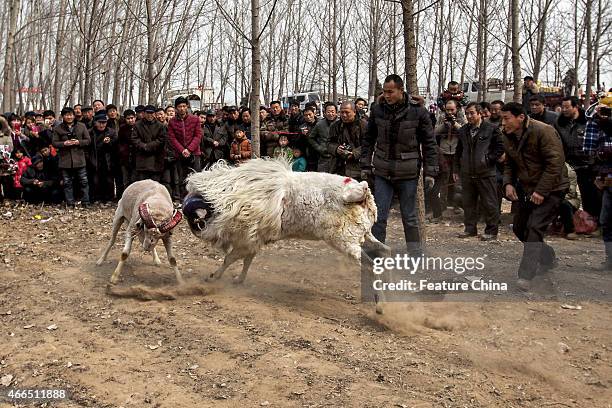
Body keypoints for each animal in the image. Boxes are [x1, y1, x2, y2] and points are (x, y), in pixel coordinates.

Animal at [184, 158, 390, 310]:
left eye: (196, 219)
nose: (195, 231)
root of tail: (361, 192)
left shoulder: (246, 236)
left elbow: (230, 259)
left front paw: (213, 277)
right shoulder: (255, 237)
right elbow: (247, 260)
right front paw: (238, 280)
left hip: (345, 241)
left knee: (371, 265)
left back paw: (381, 306)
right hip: (364, 234)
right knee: (386, 252)